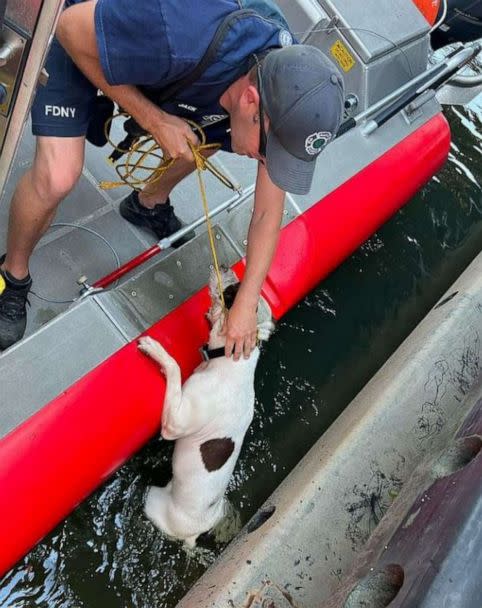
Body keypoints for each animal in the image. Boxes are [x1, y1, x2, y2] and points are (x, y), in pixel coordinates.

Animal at [138, 268, 274, 544]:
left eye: (231, 292)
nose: (226, 267)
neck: (230, 358)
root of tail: (194, 533)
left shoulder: (175, 422)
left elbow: (175, 368)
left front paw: (157, 352)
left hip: (152, 501)